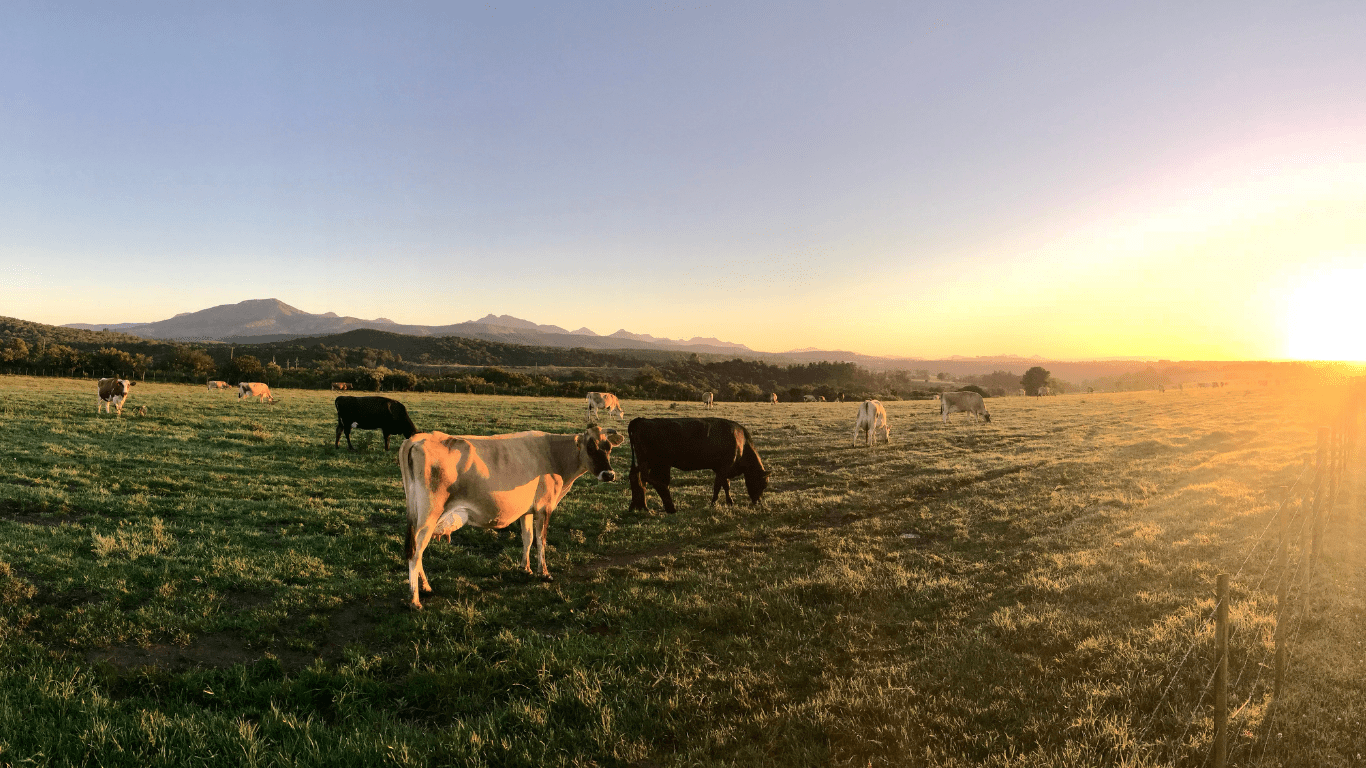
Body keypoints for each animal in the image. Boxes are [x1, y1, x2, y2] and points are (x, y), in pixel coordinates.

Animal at [398, 426, 625, 609]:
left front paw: (526, 569)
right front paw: (544, 573)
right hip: (428, 515)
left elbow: (528, 538)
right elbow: (541, 541)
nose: (609, 474)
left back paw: (426, 588)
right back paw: (415, 600)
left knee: (416, 551)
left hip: (417, 515)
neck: (553, 454)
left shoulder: (527, 510)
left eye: (608, 447)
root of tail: (418, 438)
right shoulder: (544, 507)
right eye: (590, 448)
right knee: (416, 552)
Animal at [627, 417, 769, 515]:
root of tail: (640, 420)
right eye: (763, 484)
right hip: (659, 464)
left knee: (637, 478)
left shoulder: (720, 468)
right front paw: (714, 503)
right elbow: (718, 486)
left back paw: (638, 507)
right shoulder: (725, 467)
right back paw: (668, 507)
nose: (758, 502)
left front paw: (729, 502)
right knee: (653, 481)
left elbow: (725, 485)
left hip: (647, 463)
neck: (741, 441)